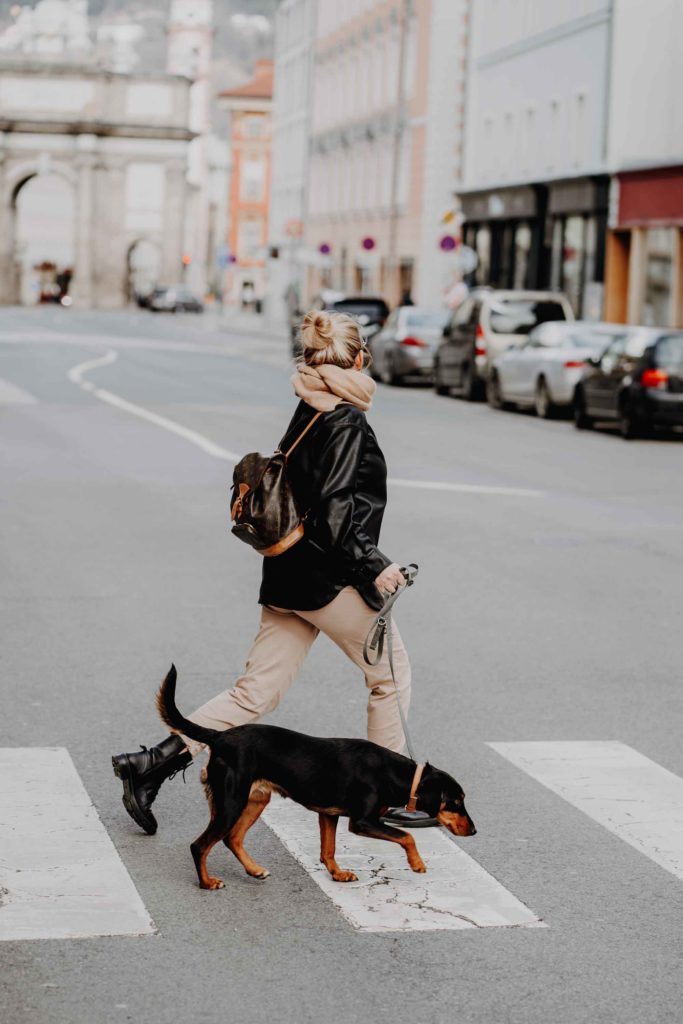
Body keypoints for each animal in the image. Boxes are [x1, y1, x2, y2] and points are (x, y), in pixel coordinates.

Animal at [156, 663, 475, 888]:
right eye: (456, 802)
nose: (473, 831)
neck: (395, 773)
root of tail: (219, 736)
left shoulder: (328, 814)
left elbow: (328, 850)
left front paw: (338, 874)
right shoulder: (362, 822)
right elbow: (406, 835)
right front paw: (417, 863)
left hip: (254, 799)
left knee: (231, 839)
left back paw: (254, 870)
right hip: (231, 802)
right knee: (200, 845)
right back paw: (207, 883)